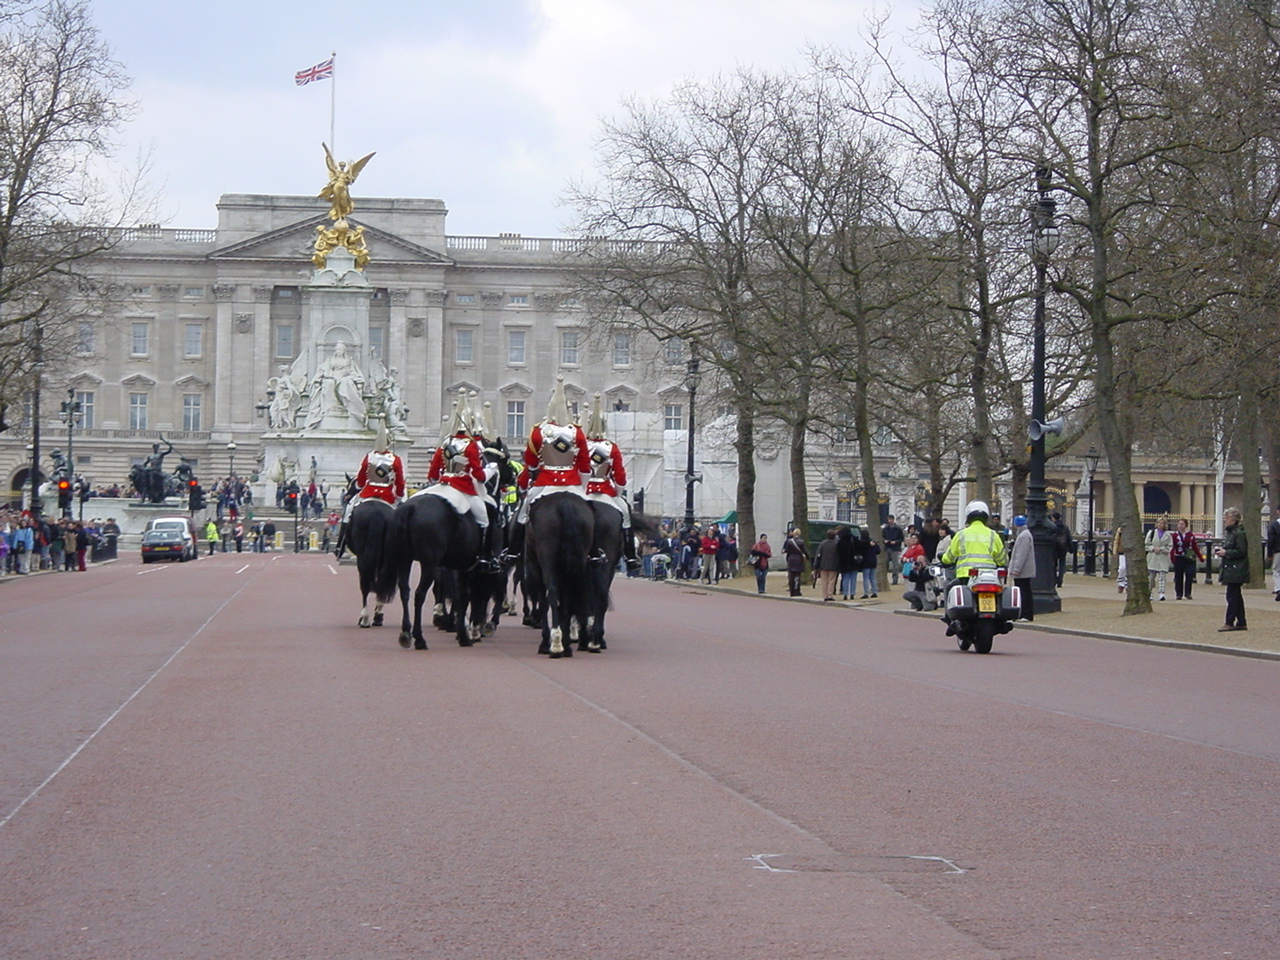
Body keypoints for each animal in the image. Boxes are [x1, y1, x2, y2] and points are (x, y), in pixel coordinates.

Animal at [524, 496, 593, 660]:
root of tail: (564, 503)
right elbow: (564, 603)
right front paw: (566, 642)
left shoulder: (535, 565)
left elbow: (544, 601)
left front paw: (545, 643)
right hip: (578, 563)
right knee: (571, 596)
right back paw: (568, 643)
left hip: (546, 561)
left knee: (552, 593)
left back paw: (555, 643)